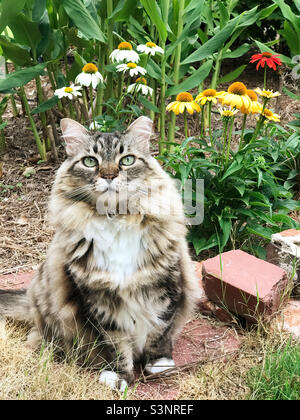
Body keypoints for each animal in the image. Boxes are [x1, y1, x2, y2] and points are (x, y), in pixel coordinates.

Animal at [1, 116, 198, 392]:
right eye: (90, 161)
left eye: (127, 159)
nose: (109, 175)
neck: (117, 219)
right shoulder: (99, 298)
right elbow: (116, 344)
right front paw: (119, 377)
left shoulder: (166, 286)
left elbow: (159, 330)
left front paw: (158, 364)